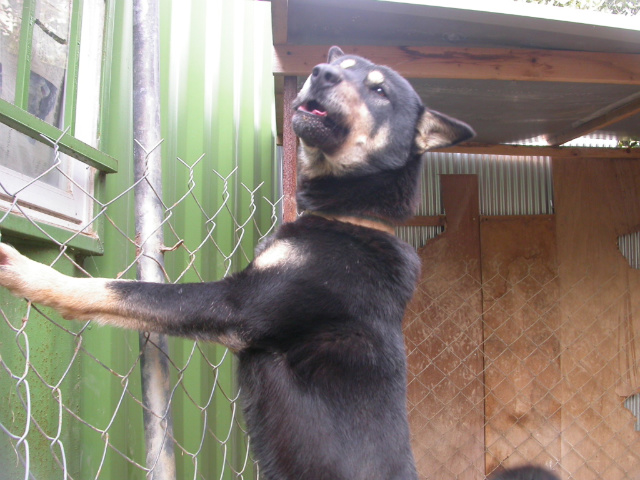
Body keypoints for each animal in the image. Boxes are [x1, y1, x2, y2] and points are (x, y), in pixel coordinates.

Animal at [0, 46, 476, 480]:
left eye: (379, 90)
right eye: (340, 66)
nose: (319, 74)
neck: (351, 218)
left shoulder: (239, 306)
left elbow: (125, 290)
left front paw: (31, 273)